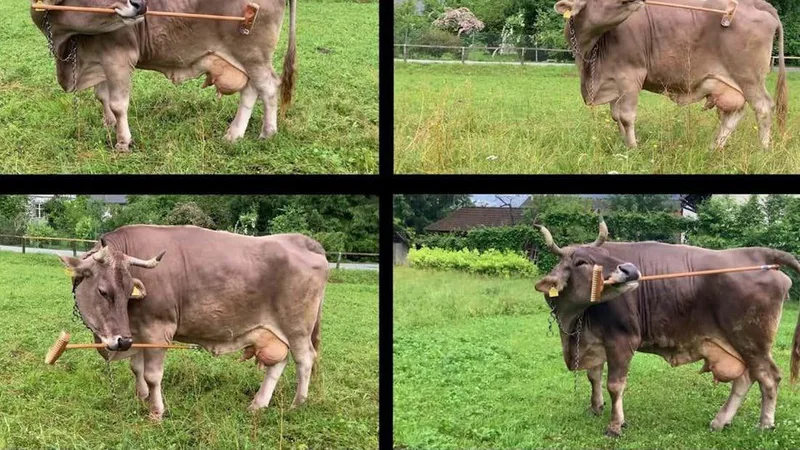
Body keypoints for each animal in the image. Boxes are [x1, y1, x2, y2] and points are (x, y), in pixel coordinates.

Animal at [31, 0, 297, 151]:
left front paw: (122, 141)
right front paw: (108, 124)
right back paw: (234, 134)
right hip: (246, 60)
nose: (139, 5)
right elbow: (102, 96)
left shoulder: (118, 58)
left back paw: (267, 133)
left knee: (268, 87)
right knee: (251, 90)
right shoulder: (101, 61)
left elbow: (118, 103)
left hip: (254, 54)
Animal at [58, 225, 327, 421]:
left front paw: (156, 412)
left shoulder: (157, 330)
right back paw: (258, 405)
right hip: (273, 332)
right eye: (103, 291)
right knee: (278, 363)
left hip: (297, 328)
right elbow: (137, 368)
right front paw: (141, 397)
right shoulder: (137, 332)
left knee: (305, 360)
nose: (121, 341)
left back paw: (297, 404)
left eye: (127, 292)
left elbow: (152, 375)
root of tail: (300, 240)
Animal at [534, 220, 800, 436]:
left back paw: (765, 424)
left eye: (605, 253)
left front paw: (615, 425)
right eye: (580, 261)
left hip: (751, 340)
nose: (630, 270)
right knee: (745, 378)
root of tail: (758, 253)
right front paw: (595, 407)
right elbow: (593, 376)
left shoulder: (622, 340)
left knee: (768, 377)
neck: (574, 320)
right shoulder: (593, 340)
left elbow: (615, 385)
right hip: (738, 344)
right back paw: (720, 421)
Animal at [554, 0, 787, 150]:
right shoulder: (613, 82)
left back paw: (763, 150)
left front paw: (633, 149)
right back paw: (713, 147)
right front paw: (623, 146)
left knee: (763, 108)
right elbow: (615, 116)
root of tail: (758, 3)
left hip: (749, 77)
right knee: (734, 113)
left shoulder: (630, 76)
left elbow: (626, 116)